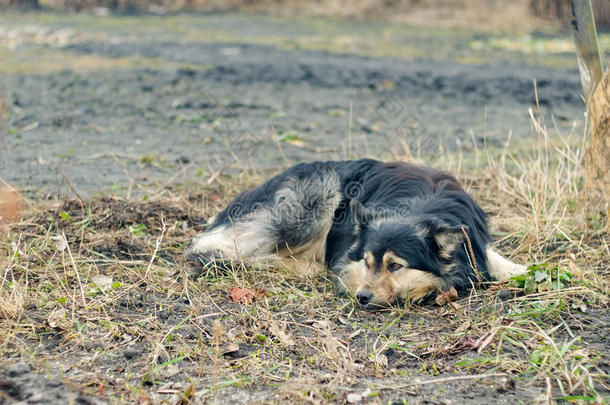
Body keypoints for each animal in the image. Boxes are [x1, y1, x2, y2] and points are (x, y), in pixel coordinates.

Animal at [185, 159, 524, 310]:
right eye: (367, 261)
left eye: (395, 266)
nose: (362, 297)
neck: (421, 205)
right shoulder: (348, 261)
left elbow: (492, 258)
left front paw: (518, 270)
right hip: (314, 198)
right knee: (210, 247)